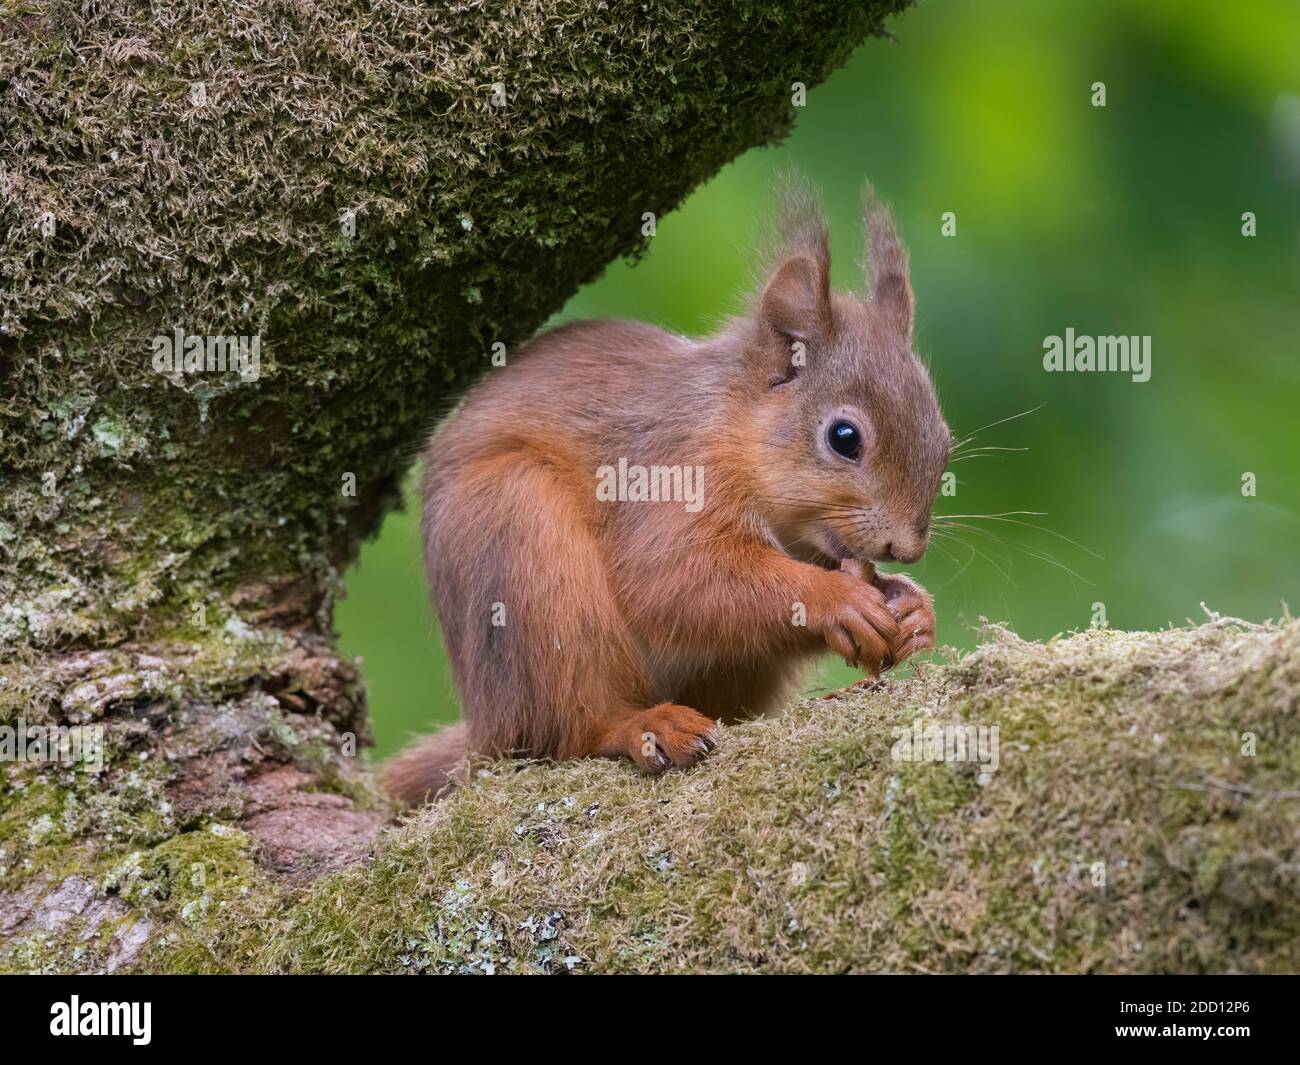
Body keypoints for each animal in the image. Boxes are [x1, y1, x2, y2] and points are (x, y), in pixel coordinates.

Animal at [379, 183, 951, 806]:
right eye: (844, 438)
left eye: (945, 441)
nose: (907, 549)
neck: (731, 427)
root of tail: (483, 728)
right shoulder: (667, 474)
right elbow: (672, 580)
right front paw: (836, 599)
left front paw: (912, 607)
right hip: (515, 537)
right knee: (563, 731)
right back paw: (639, 726)